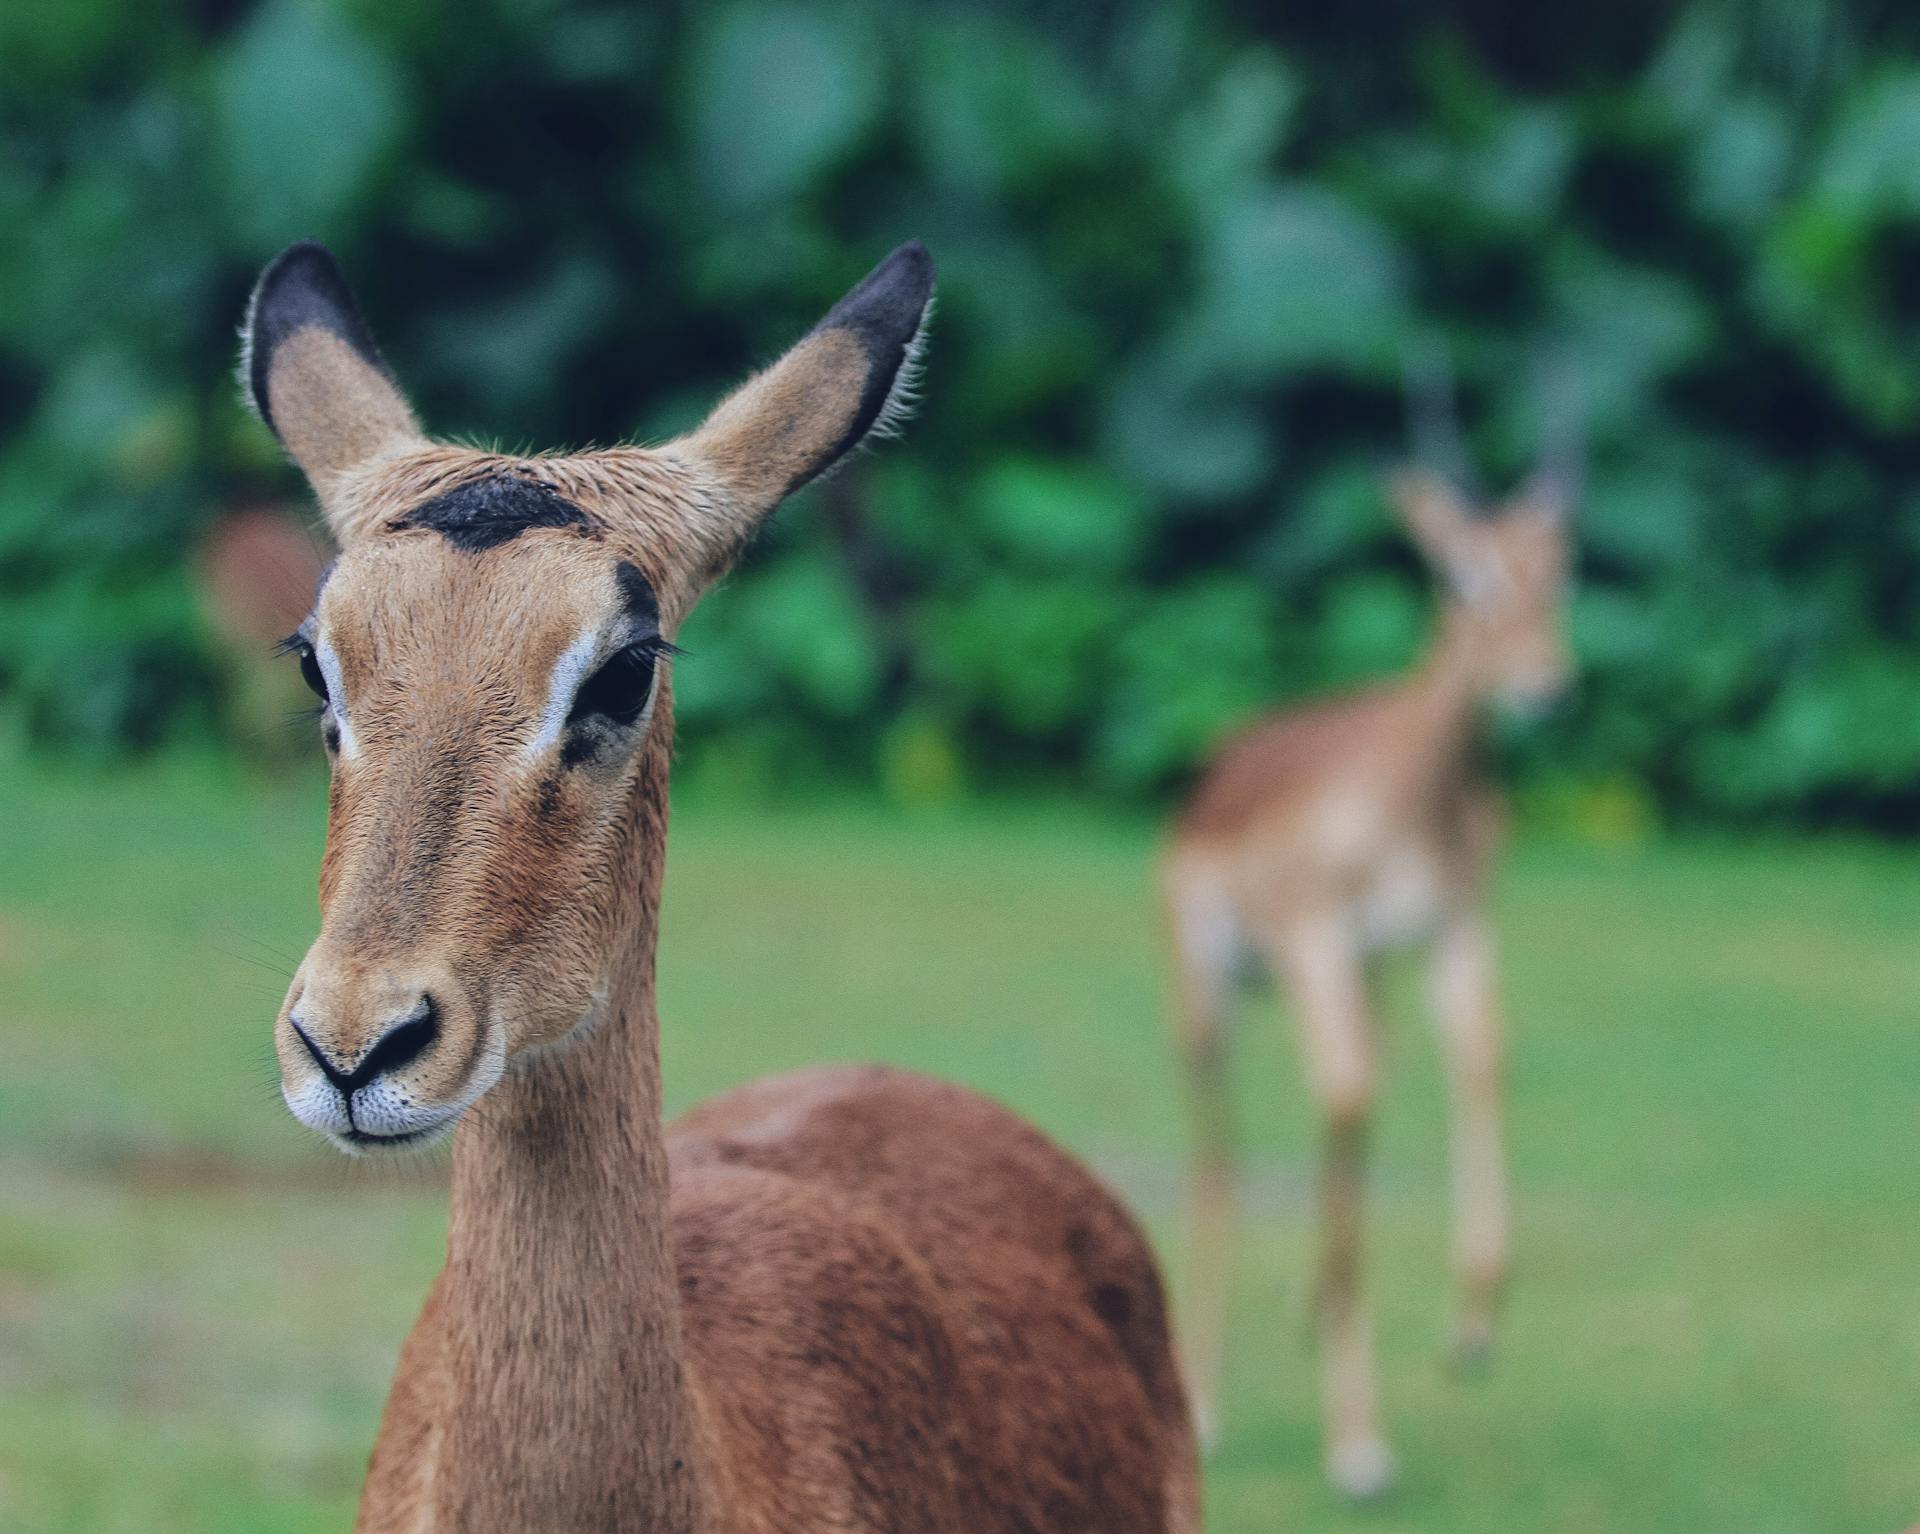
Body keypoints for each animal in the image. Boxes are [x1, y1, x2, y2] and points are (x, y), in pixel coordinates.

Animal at [1159, 353, 1582, 1497]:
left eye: (1560, 574)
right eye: (1467, 577)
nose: (1548, 686)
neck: (1404, 799)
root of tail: (1212, 774)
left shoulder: (1451, 935)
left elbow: (1483, 1059)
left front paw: (1471, 1329)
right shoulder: (1316, 938)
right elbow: (1347, 1095)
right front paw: (1356, 1443)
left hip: (1365, 979)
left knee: (1362, 1096)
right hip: (1216, 993)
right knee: (1226, 1157)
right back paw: (1207, 1401)